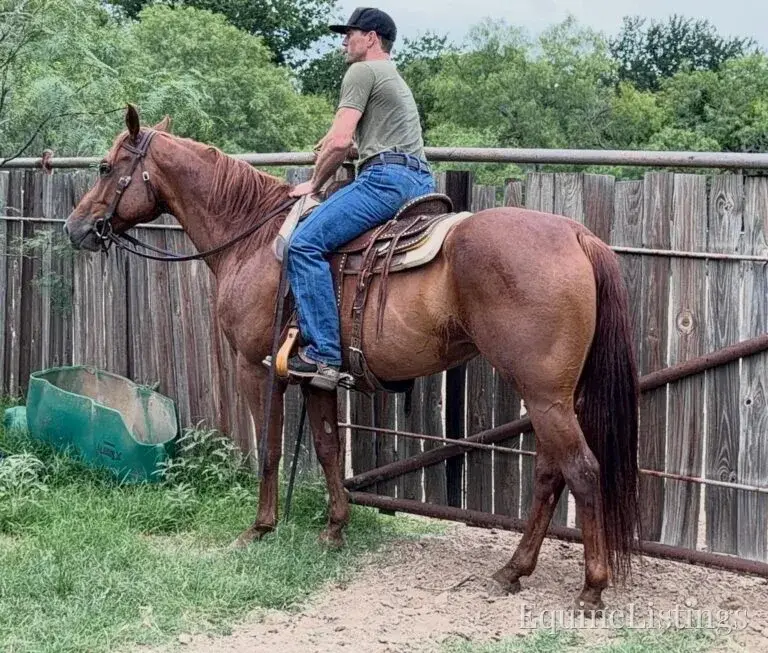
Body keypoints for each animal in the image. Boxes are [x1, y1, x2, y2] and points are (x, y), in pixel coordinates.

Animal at [64, 105, 640, 612]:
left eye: (105, 167)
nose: (74, 228)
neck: (252, 238)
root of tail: (577, 235)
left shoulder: (256, 369)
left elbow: (270, 449)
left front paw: (260, 528)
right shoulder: (316, 378)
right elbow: (325, 448)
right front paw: (334, 528)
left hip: (544, 395)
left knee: (582, 470)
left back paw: (591, 588)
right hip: (553, 397)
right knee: (549, 474)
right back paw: (513, 570)